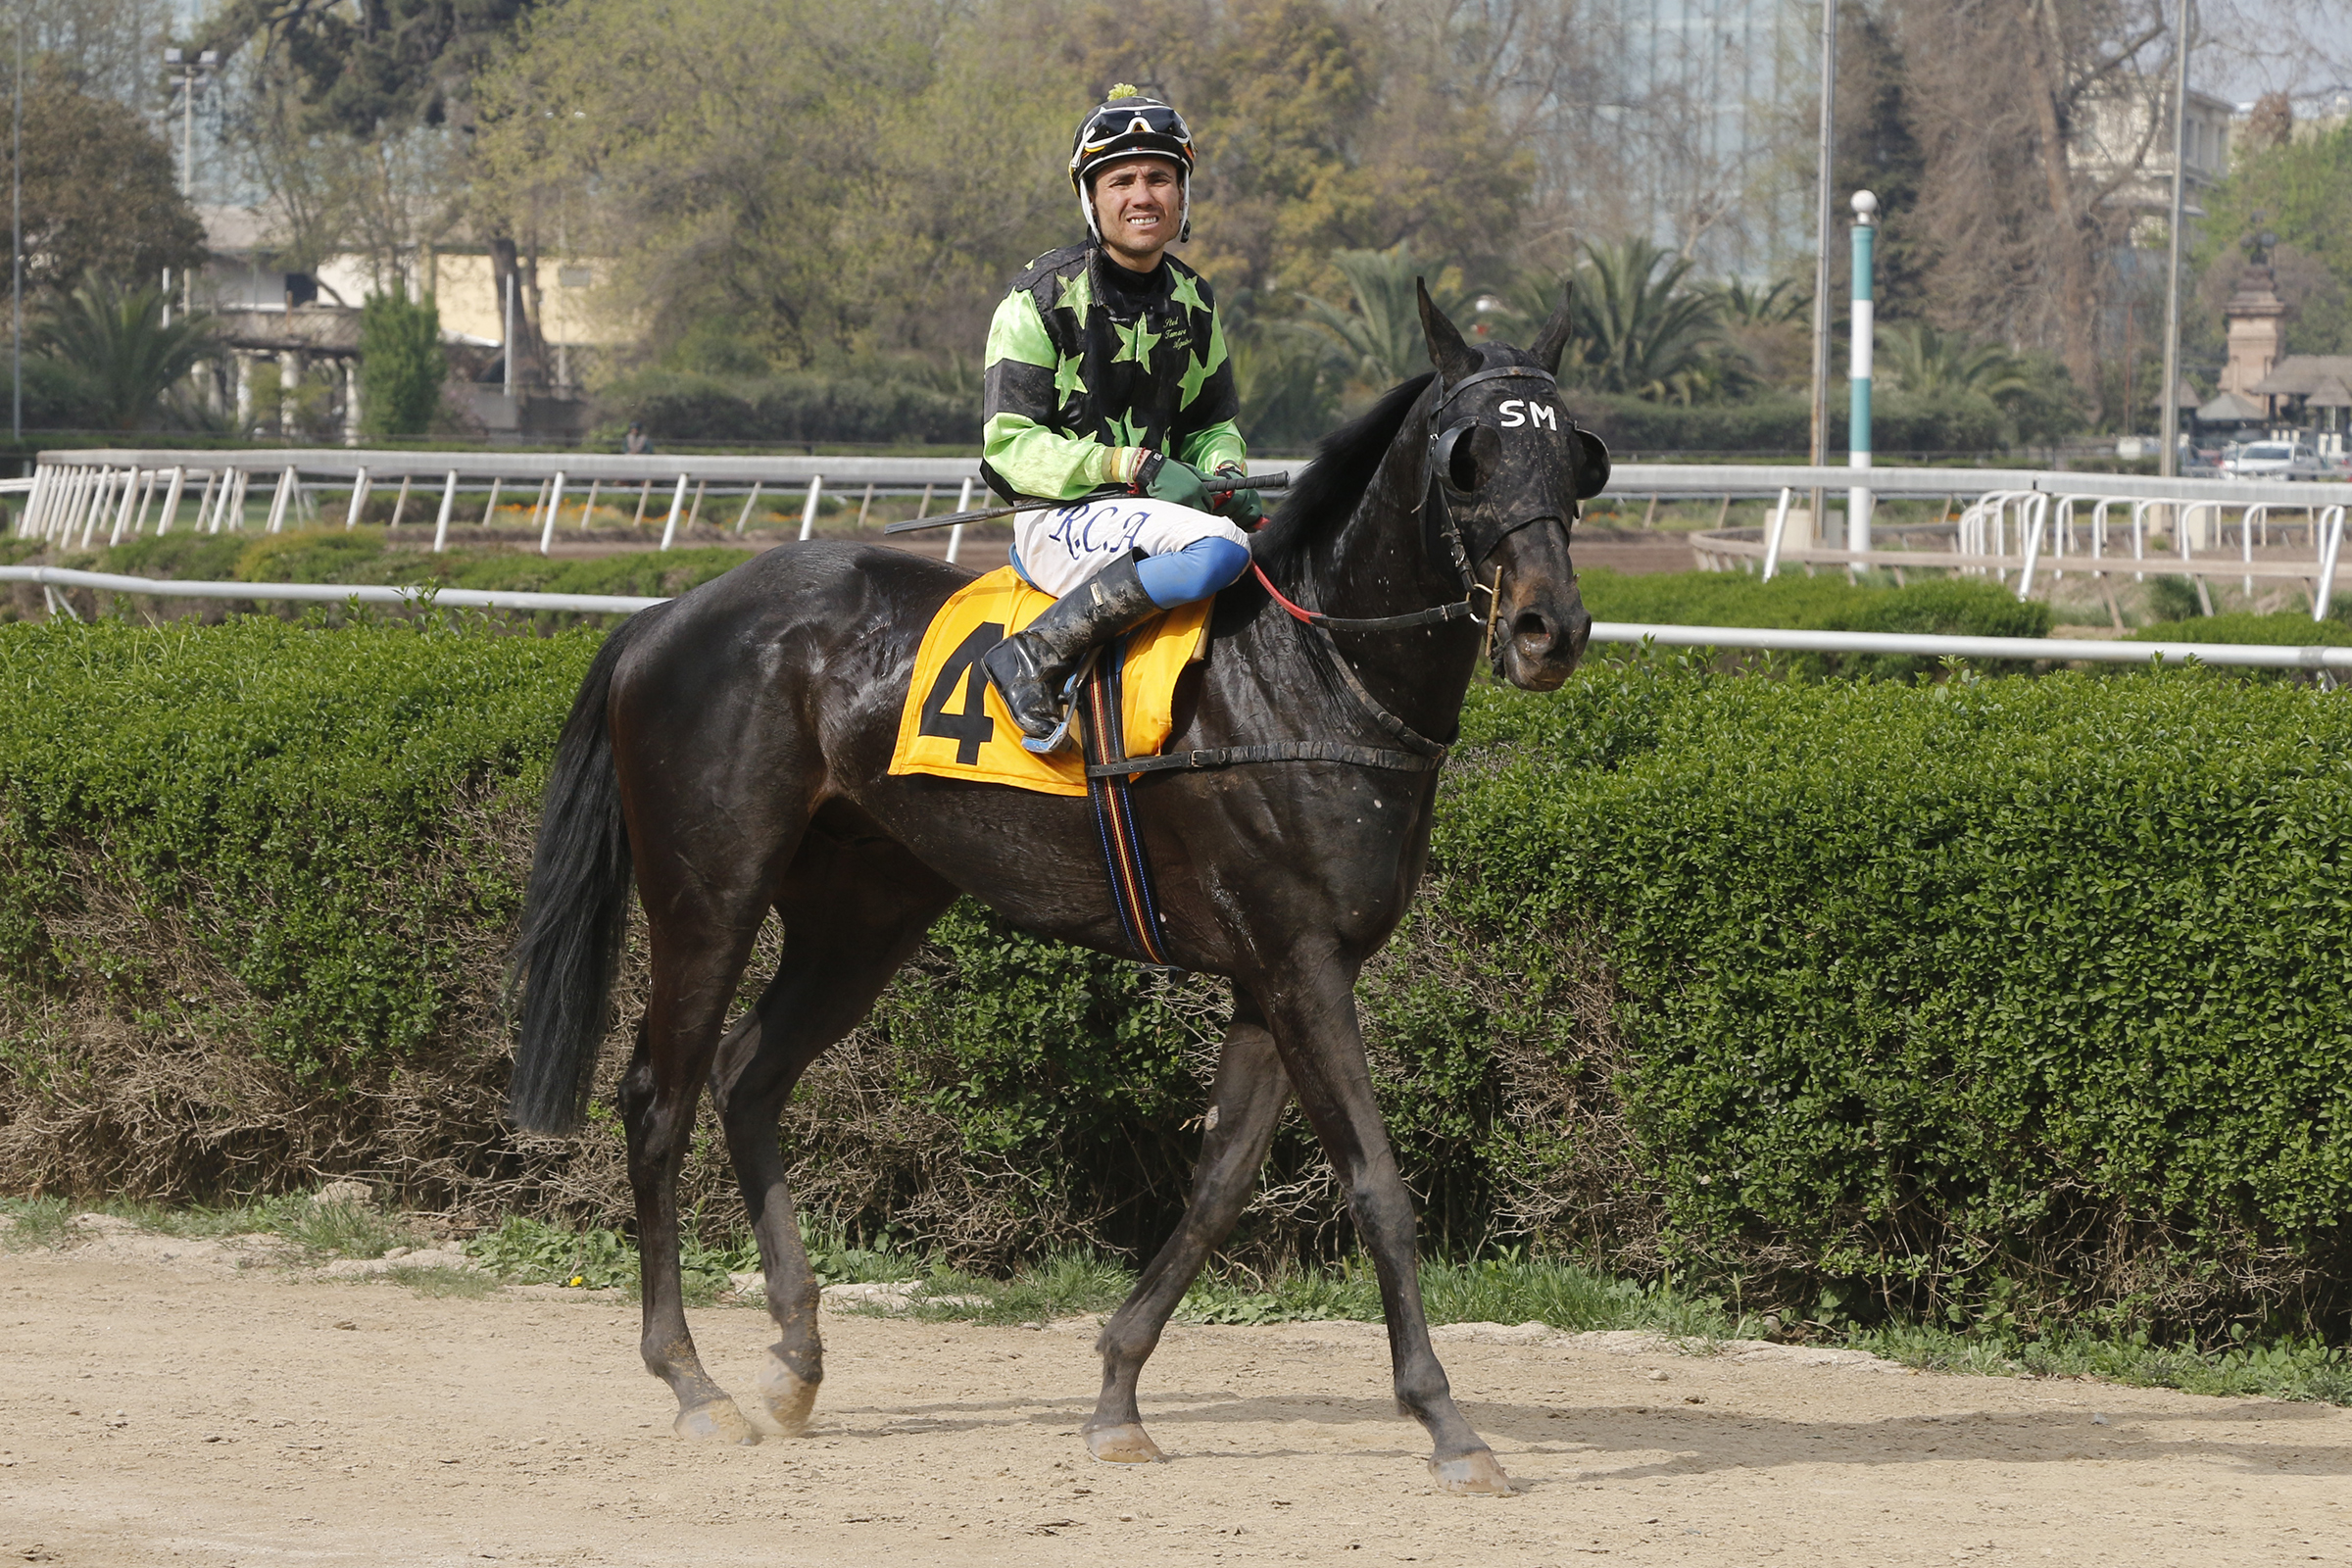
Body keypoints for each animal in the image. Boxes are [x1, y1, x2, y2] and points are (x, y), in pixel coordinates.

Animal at [506, 285, 1607, 1496]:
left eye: (1574, 453)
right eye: (1470, 458)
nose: (1549, 629)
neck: (1310, 676)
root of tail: (667, 614)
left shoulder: (1273, 973)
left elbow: (1220, 1183)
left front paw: (1118, 1390)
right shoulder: (1302, 962)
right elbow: (1377, 1183)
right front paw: (1448, 1422)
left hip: (864, 909)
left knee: (750, 1074)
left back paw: (795, 1355)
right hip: (708, 894)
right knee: (658, 1097)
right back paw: (691, 1380)